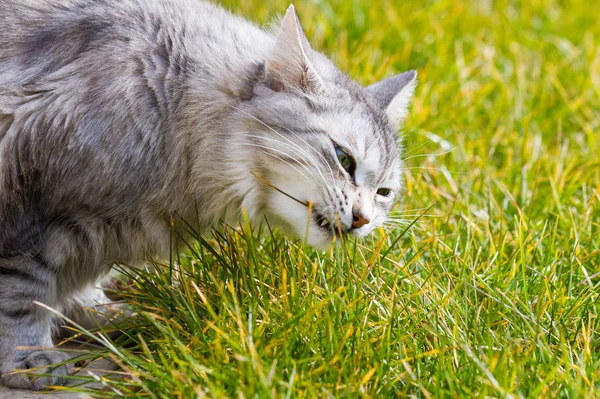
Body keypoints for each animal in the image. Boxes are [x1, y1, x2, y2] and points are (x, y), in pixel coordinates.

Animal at [0, 0, 418, 390]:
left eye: (383, 193)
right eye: (344, 159)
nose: (363, 219)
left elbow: (78, 286)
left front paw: (98, 314)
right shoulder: (33, 212)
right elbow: (23, 296)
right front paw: (29, 357)